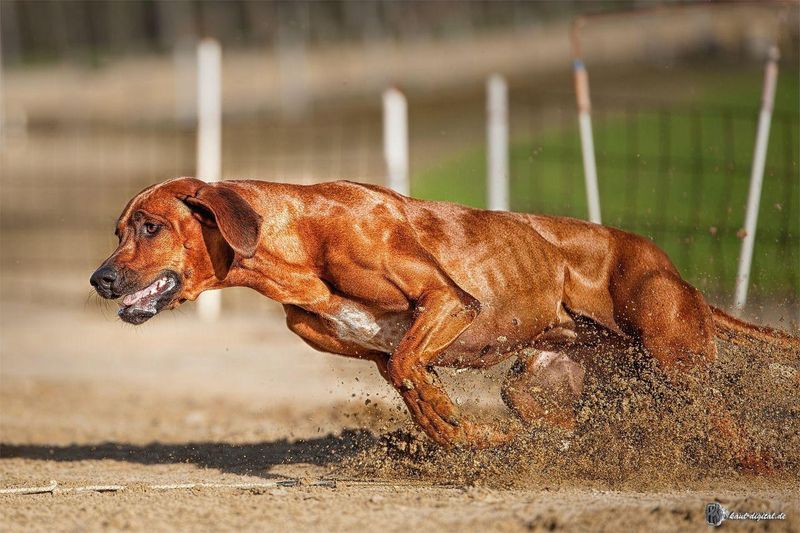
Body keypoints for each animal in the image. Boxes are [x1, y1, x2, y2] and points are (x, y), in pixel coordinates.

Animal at [90, 177, 796, 450]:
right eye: (119, 229)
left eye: (150, 226)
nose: (100, 280)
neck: (297, 239)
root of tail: (677, 273)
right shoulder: (377, 356)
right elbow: (411, 385)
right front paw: (468, 435)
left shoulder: (451, 301)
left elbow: (413, 364)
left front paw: (451, 416)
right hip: (541, 383)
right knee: (558, 422)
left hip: (679, 364)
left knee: (724, 422)